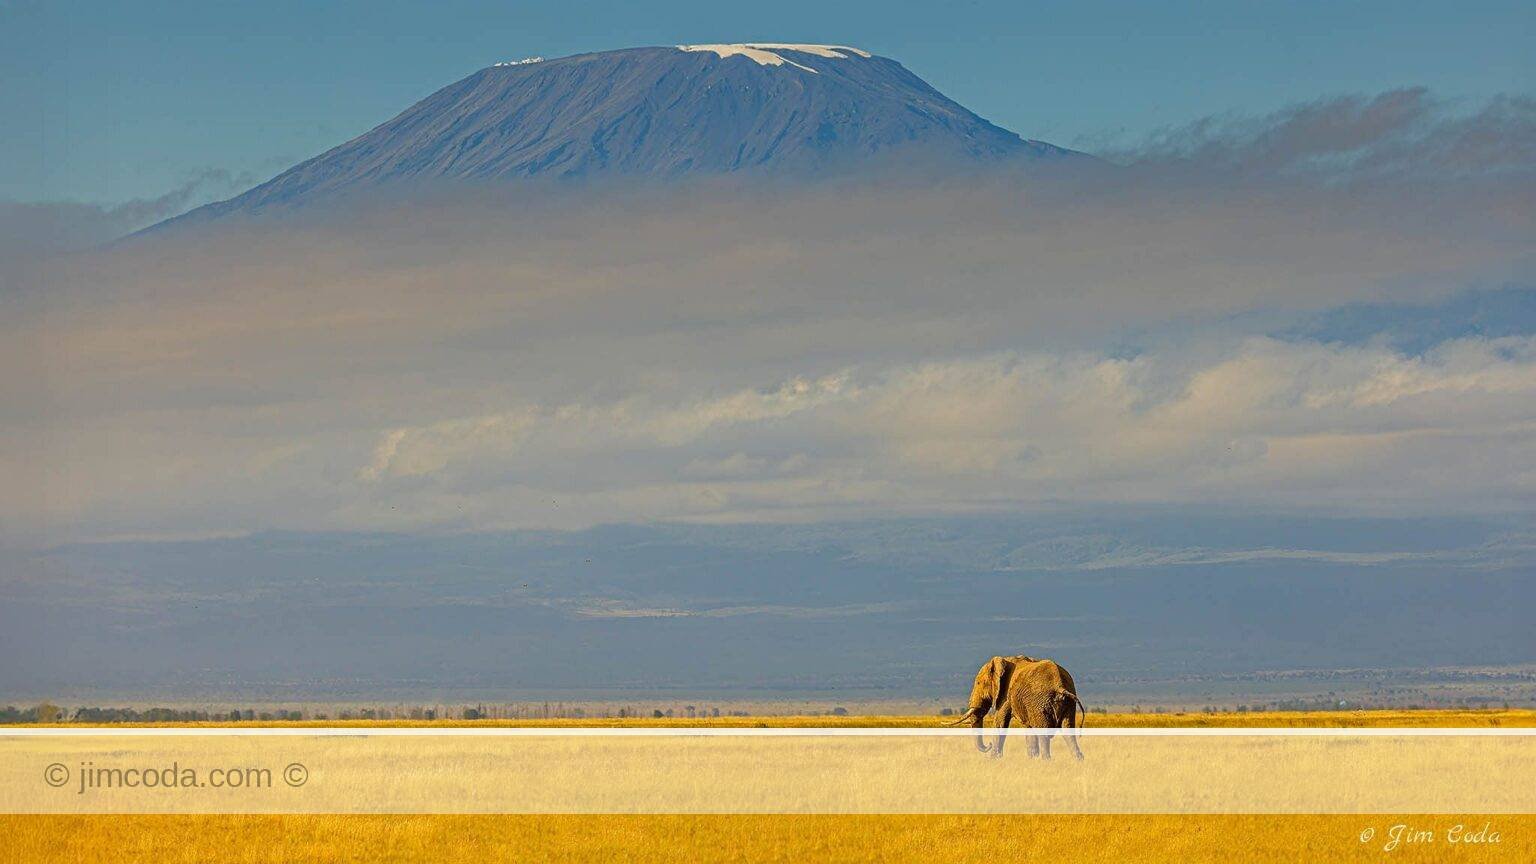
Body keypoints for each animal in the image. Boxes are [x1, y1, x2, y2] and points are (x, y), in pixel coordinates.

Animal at [947, 655, 1085, 759]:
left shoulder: (1006, 695)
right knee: (1068, 733)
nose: (989, 744)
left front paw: (993, 760)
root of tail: (1059, 686)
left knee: (1045, 735)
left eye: (978, 683)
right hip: (1066, 704)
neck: (1004, 660)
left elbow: (1000, 722)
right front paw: (1032, 760)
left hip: (1041, 702)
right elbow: (1029, 729)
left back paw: (1046, 761)